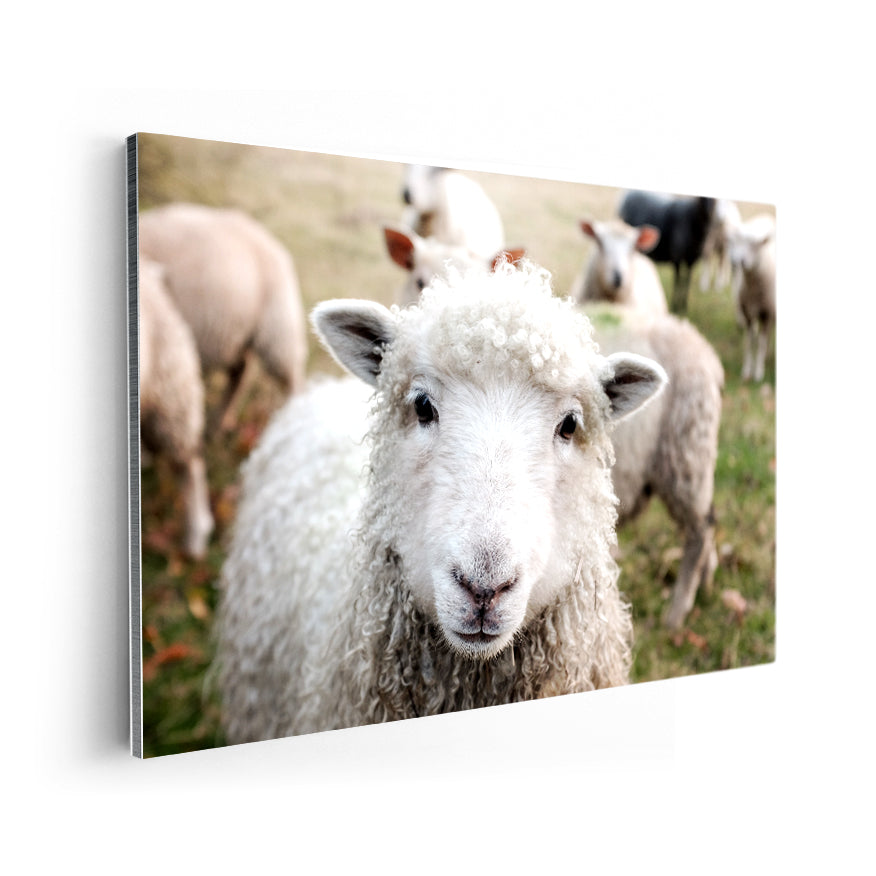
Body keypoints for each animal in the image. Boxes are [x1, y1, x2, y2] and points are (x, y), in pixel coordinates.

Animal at [726, 214, 776, 382]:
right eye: (734, 242)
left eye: (754, 244)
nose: (737, 261)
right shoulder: (747, 313)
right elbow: (749, 342)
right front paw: (747, 370)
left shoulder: (767, 313)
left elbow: (760, 342)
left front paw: (759, 372)